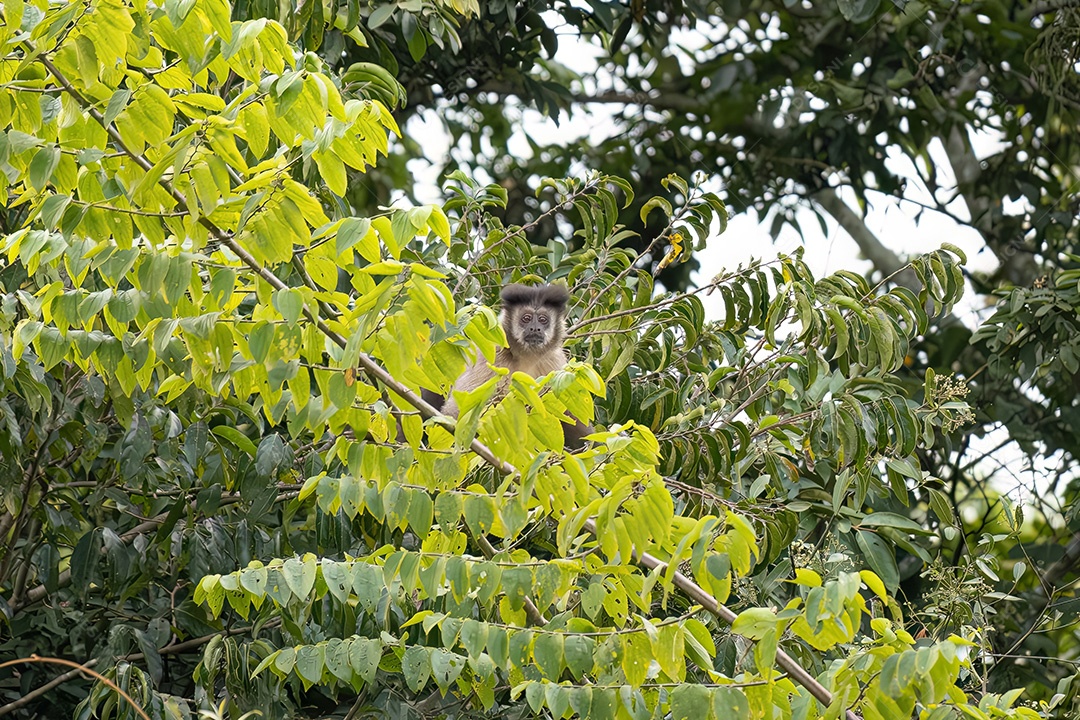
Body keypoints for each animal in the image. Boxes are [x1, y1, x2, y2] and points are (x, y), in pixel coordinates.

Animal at [441, 283, 594, 450]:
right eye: (526, 318)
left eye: (543, 319)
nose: (535, 328)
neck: (526, 356)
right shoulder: (493, 353)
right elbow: (457, 410)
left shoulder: (553, 361)